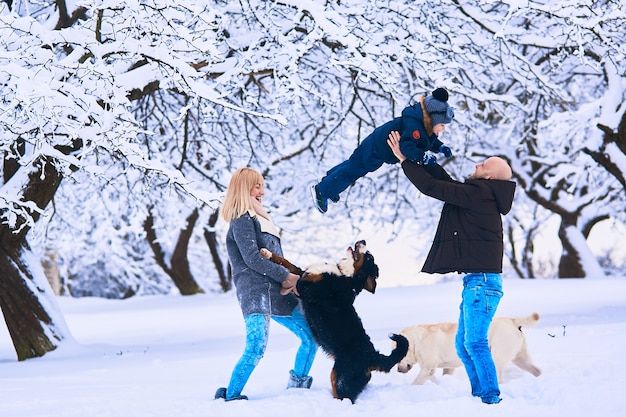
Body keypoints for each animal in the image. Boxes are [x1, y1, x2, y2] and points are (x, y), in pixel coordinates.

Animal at [398, 312, 540, 384]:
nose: (398, 370)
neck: (417, 340)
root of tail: (512, 320)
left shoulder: (428, 368)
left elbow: (417, 381)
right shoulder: (447, 368)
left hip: (497, 357)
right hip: (521, 359)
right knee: (537, 371)